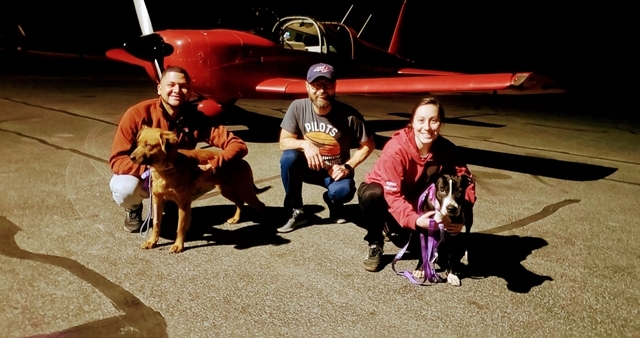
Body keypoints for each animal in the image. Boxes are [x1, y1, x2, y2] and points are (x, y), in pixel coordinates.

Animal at [130, 127, 270, 254]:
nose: (131, 157)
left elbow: (180, 226)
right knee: (240, 203)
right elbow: (156, 225)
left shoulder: (183, 204)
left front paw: (178, 245)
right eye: (138, 143)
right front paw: (152, 242)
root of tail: (242, 160)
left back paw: (265, 224)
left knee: (260, 205)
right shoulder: (158, 201)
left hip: (244, 190)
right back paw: (236, 219)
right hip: (225, 190)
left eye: (148, 144)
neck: (166, 170)